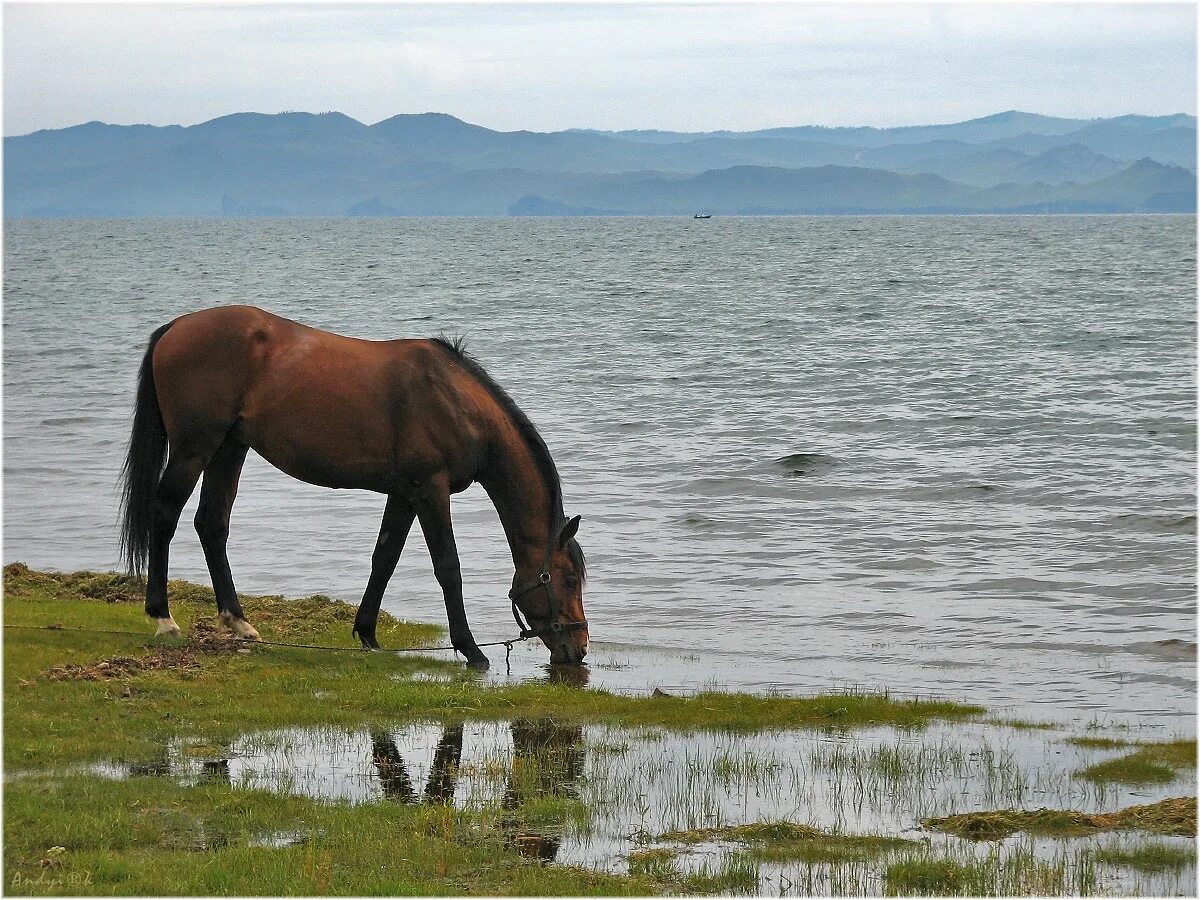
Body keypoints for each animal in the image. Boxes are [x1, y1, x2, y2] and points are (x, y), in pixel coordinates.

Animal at [119, 307, 588, 667]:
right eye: (568, 580)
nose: (580, 649)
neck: (455, 402)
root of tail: (175, 328)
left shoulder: (404, 494)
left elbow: (385, 558)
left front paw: (367, 634)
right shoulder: (430, 491)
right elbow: (447, 567)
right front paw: (471, 650)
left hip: (230, 448)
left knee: (211, 524)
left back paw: (238, 621)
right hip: (193, 449)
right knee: (165, 514)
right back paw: (163, 618)